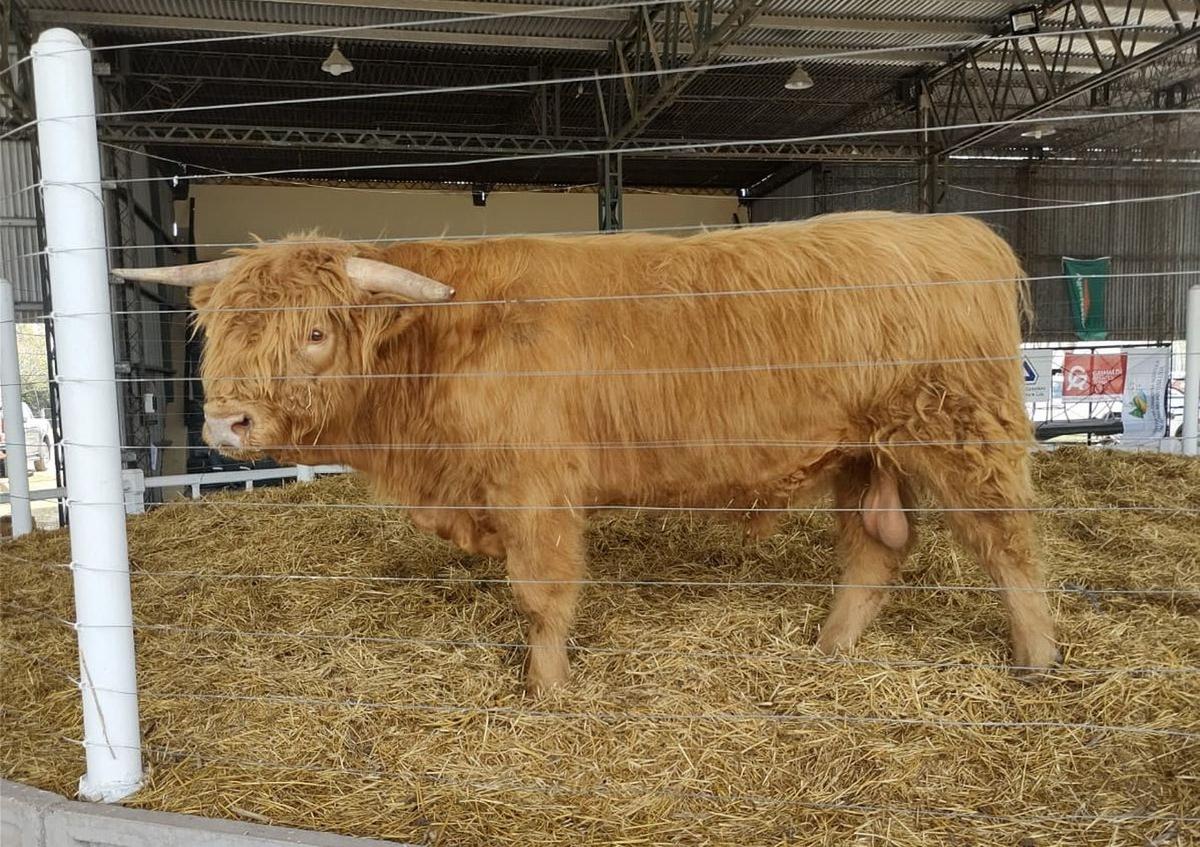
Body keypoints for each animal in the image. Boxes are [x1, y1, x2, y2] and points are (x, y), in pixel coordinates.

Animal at [117, 211, 1060, 691]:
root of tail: (957, 228)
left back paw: (1038, 659)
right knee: (875, 548)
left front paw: (547, 695)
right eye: (217, 329)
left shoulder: (535, 486)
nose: (227, 425)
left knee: (1008, 543)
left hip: (962, 428)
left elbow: (542, 596)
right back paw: (829, 650)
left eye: (314, 332)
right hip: (865, 453)